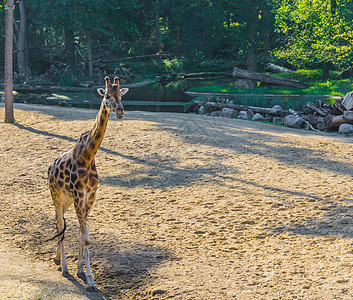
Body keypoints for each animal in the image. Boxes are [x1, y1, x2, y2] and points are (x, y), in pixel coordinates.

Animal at [47, 76, 128, 292]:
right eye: (107, 96)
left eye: (121, 95)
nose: (120, 111)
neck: (88, 155)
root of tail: (50, 167)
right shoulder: (78, 194)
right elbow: (85, 236)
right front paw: (90, 280)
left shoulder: (89, 195)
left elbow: (82, 232)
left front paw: (81, 269)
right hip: (56, 194)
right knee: (59, 222)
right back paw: (64, 267)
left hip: (66, 199)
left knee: (61, 221)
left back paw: (58, 259)